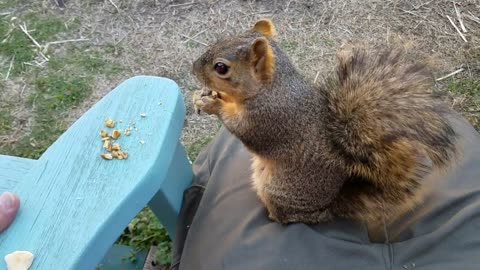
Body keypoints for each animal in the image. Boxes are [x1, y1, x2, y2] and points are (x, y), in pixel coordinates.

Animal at [193, 18, 460, 236]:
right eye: (222, 39)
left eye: (221, 67)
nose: (193, 68)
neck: (272, 87)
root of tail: (328, 207)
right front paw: (205, 95)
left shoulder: (269, 120)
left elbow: (243, 130)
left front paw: (213, 104)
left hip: (280, 191)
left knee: (290, 217)